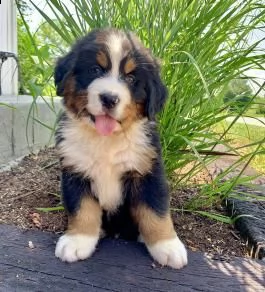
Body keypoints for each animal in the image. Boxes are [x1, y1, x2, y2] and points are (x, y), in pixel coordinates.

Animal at [53, 28, 187, 270]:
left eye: (131, 78)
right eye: (95, 70)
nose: (109, 98)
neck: (107, 140)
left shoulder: (148, 171)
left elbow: (156, 211)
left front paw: (167, 246)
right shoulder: (74, 171)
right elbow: (82, 209)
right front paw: (78, 240)